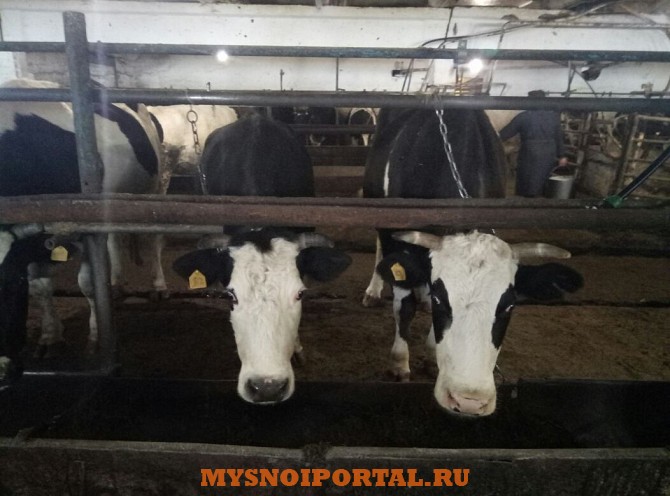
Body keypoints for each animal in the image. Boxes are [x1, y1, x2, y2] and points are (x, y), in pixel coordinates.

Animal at [0, 78, 166, 361]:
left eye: (7, 285)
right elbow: (40, 286)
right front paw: (50, 338)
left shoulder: (85, 224)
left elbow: (88, 284)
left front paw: (97, 339)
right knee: (114, 241)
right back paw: (116, 284)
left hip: (152, 190)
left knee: (152, 239)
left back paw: (158, 286)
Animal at [362, 108, 583, 416]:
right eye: (443, 300)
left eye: (509, 306)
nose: (469, 401)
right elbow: (404, 307)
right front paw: (399, 364)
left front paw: (431, 356)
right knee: (381, 249)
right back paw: (373, 290)